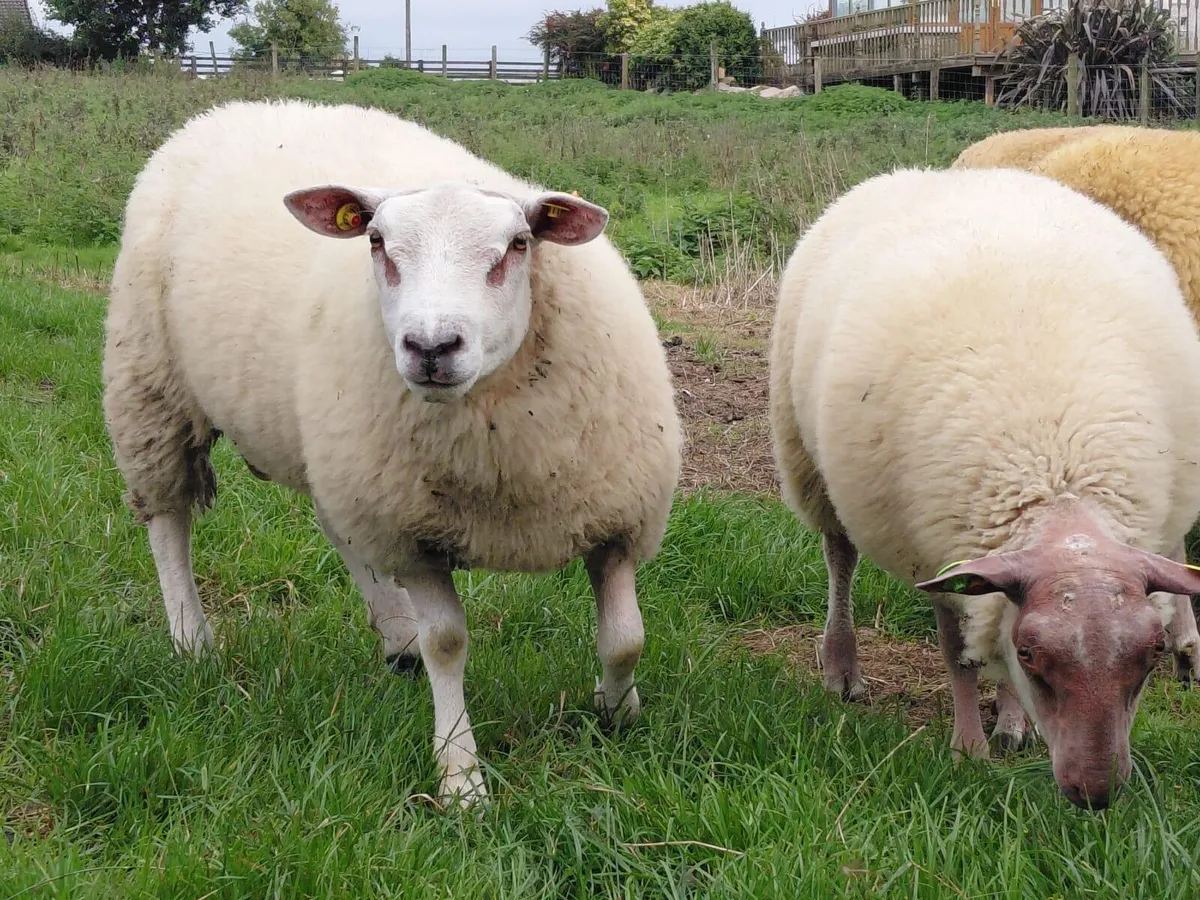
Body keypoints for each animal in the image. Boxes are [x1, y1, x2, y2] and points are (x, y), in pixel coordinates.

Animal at [102, 99, 682, 808]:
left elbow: (626, 639)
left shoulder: (616, 519)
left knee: (338, 530)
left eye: (518, 245)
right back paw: (191, 639)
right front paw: (460, 775)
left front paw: (617, 711)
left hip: (338, 456)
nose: (432, 347)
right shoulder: (414, 535)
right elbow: (448, 644)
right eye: (376, 242)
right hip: (149, 383)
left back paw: (394, 638)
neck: (501, 455)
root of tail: (233, 108)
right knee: (168, 520)